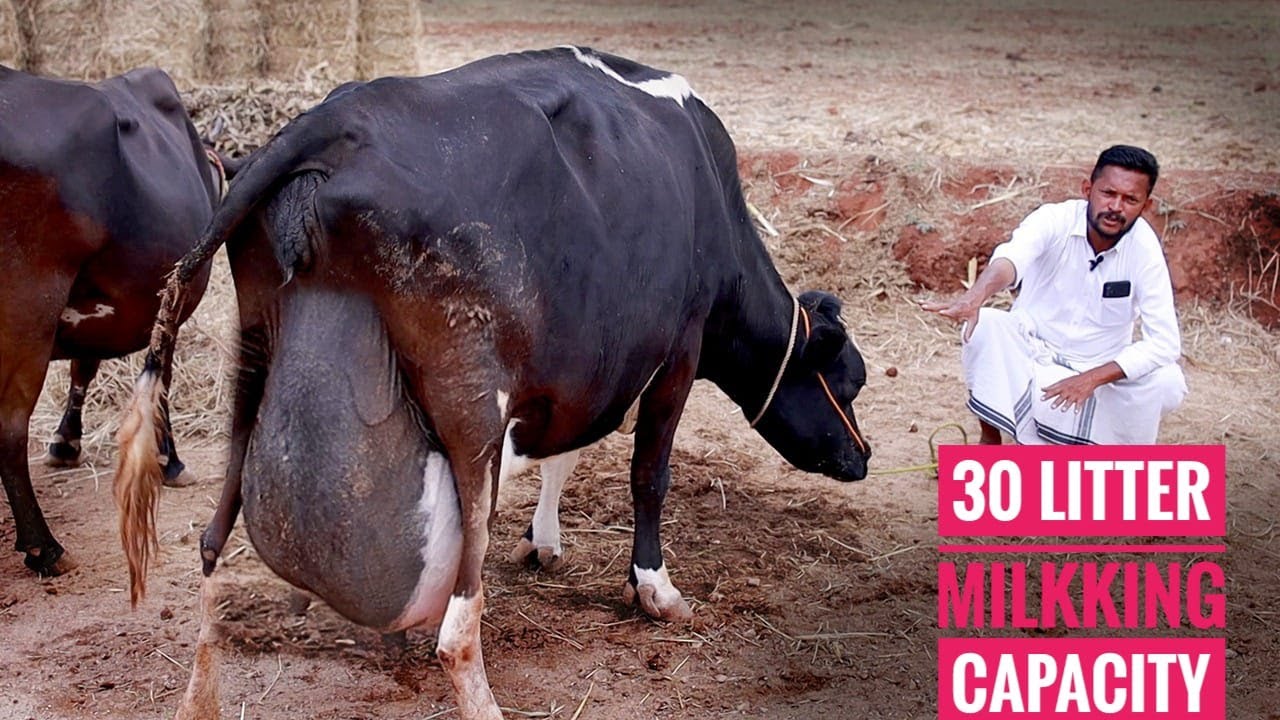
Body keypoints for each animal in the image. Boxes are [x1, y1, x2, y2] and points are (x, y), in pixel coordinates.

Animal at [0, 65, 223, 576]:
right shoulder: (174, 303)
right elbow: (161, 379)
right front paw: (168, 459)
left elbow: (84, 366)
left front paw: (65, 442)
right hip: (26, 312)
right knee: (9, 428)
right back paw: (44, 547)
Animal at [115, 47, 872, 719]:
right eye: (849, 381)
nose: (862, 458)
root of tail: (335, 119)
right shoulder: (676, 354)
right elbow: (647, 474)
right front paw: (654, 590)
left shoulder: (585, 369)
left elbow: (565, 453)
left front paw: (544, 541)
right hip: (471, 404)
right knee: (457, 628)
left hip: (253, 360)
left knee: (211, 555)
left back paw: (200, 694)